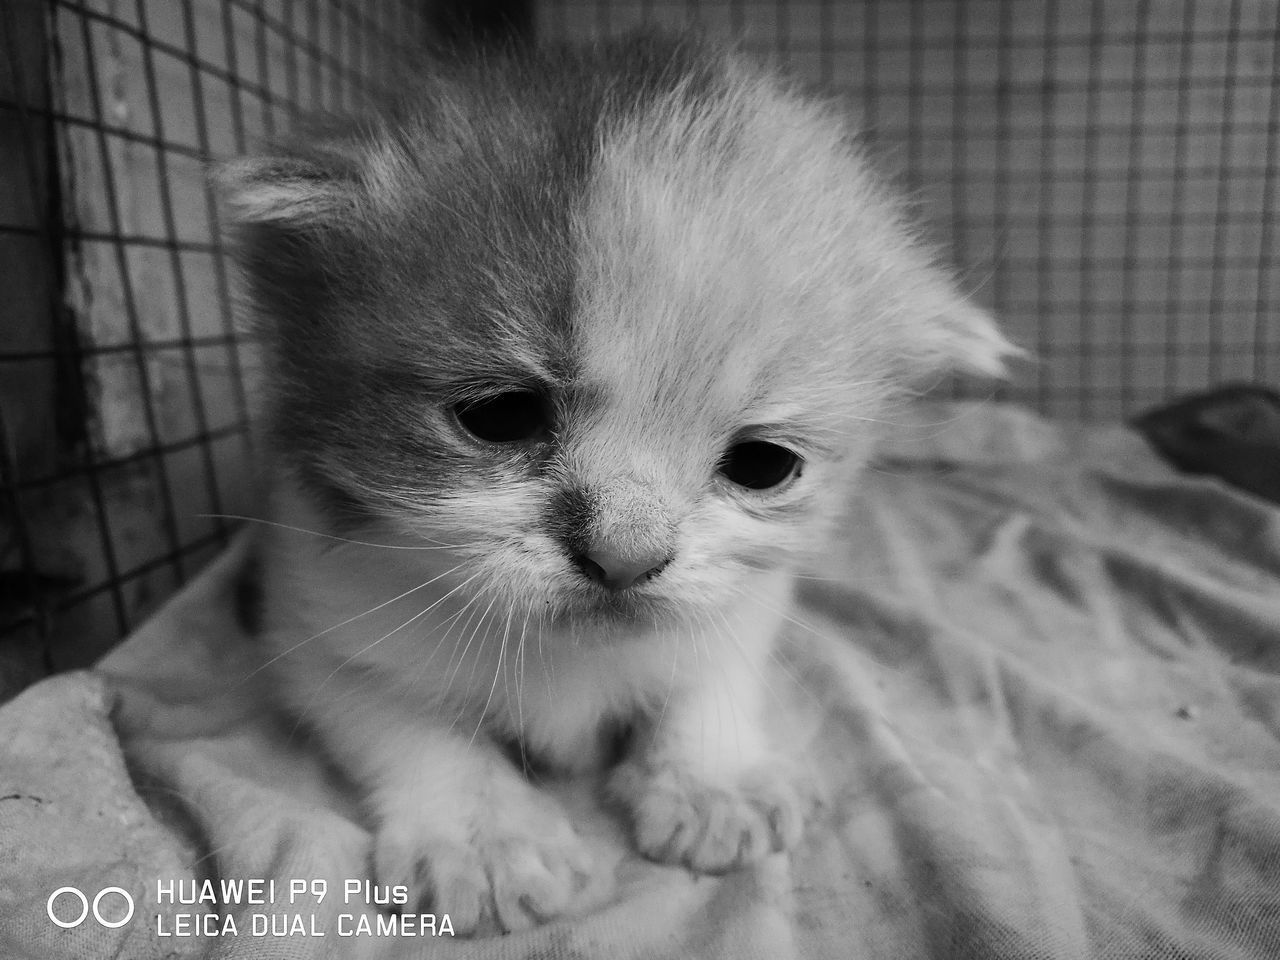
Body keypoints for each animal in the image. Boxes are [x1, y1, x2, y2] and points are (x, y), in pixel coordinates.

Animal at [217, 32, 1008, 942]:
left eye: (763, 464)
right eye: (500, 415)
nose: (626, 555)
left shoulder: (742, 601)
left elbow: (709, 673)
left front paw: (711, 782)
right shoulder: (312, 618)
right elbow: (410, 727)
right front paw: (490, 842)